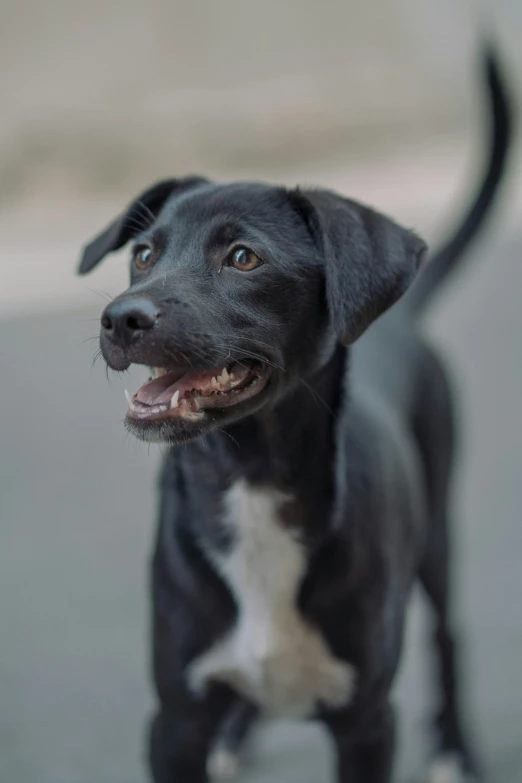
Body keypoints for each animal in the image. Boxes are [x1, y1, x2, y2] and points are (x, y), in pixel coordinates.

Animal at [79, 49, 510, 783]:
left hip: (437, 532)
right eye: (143, 253)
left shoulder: (368, 723)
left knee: (449, 634)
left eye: (243, 257)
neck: (249, 483)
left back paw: (454, 753)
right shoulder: (173, 719)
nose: (119, 319)